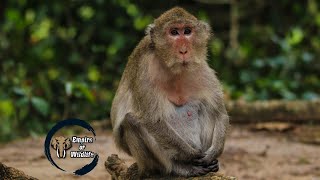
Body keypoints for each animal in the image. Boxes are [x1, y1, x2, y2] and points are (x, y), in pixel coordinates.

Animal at [111, 7, 229, 177]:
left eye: (187, 31)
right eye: (174, 32)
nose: (183, 50)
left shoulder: (203, 69)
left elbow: (220, 113)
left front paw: (214, 152)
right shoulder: (145, 69)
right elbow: (152, 120)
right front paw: (191, 155)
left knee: (208, 107)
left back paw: (211, 164)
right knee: (131, 121)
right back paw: (179, 167)